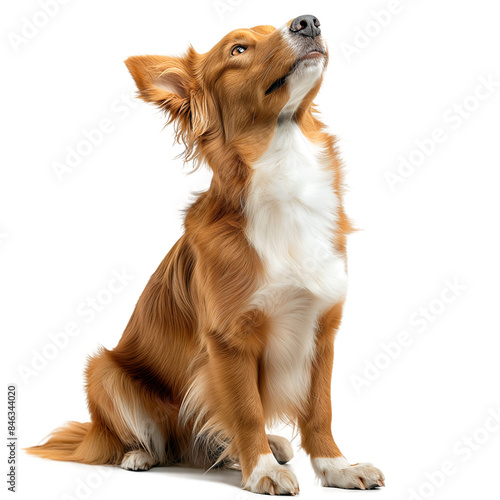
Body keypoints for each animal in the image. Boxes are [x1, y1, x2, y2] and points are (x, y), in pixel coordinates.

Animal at [27, 13, 384, 494]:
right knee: (146, 440)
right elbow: (246, 409)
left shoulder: (322, 328)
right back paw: (141, 455)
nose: (308, 22)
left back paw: (268, 445)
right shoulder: (228, 339)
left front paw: (336, 467)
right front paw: (262, 470)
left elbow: (320, 410)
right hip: (103, 371)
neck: (283, 162)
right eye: (238, 50)